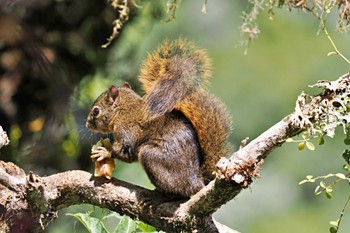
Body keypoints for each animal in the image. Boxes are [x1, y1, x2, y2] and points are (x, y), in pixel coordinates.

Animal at [86, 38, 231, 197]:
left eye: (96, 111)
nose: (87, 125)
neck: (123, 111)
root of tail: (197, 181)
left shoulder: (127, 130)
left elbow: (126, 151)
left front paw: (105, 152)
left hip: (150, 156)